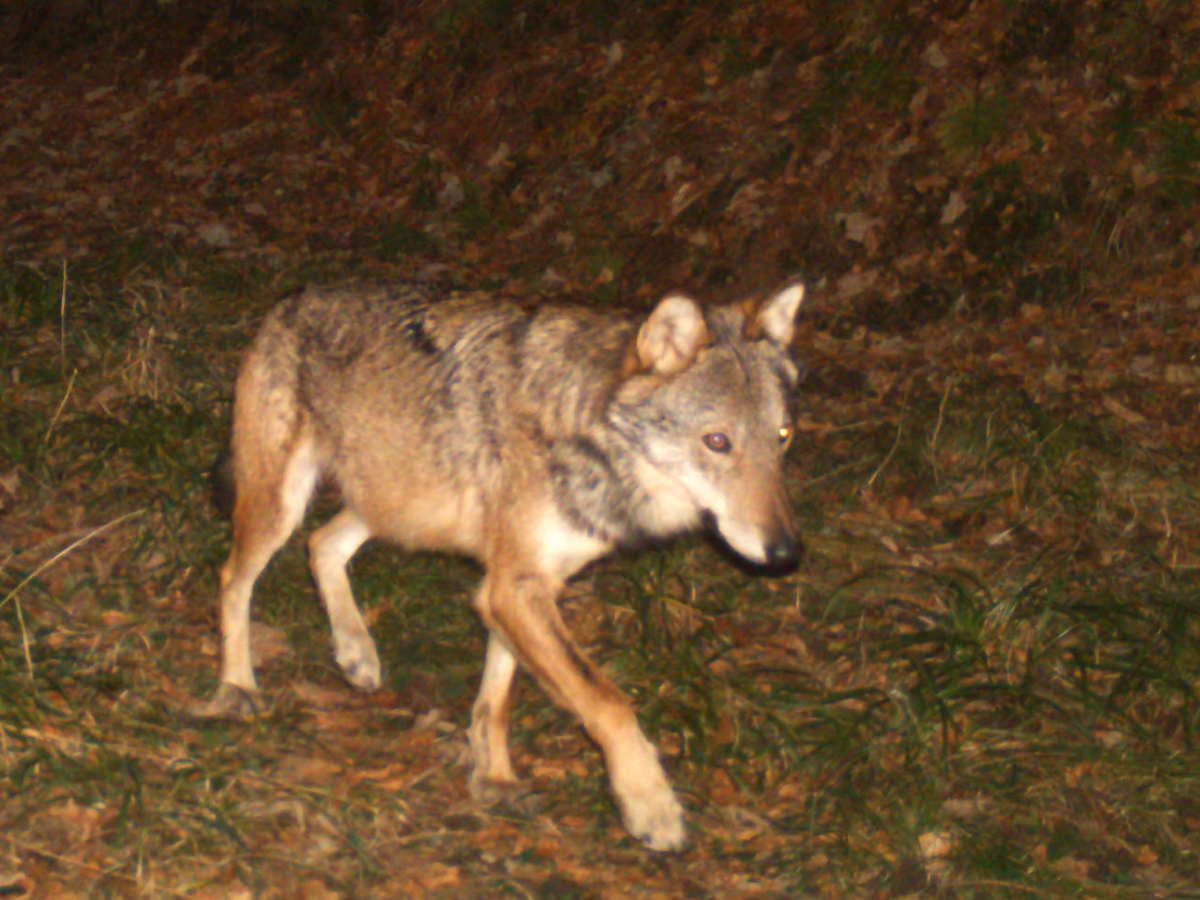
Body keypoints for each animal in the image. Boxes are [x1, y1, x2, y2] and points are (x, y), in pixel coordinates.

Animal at [194, 280, 806, 854]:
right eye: (717, 441)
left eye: (783, 437)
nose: (786, 553)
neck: (585, 432)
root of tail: (292, 299)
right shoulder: (513, 588)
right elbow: (609, 702)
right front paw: (652, 808)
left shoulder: (515, 585)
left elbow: (498, 697)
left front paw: (493, 775)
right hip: (283, 505)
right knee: (235, 580)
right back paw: (237, 687)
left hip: (400, 503)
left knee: (323, 544)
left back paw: (356, 651)